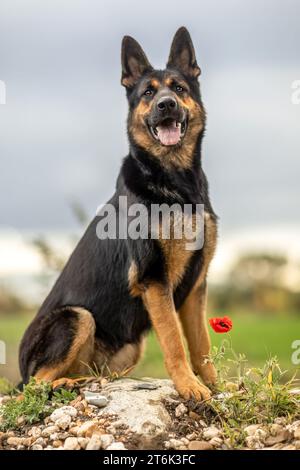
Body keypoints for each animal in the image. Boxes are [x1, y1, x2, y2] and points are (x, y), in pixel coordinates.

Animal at [19, 26, 219, 400]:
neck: (174, 182)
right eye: (148, 93)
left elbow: (201, 344)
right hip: (77, 317)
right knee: (33, 386)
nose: (166, 105)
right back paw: (66, 383)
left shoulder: (196, 286)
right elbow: (174, 341)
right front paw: (188, 385)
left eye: (179, 88)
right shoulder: (154, 278)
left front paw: (217, 385)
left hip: (128, 349)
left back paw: (84, 382)